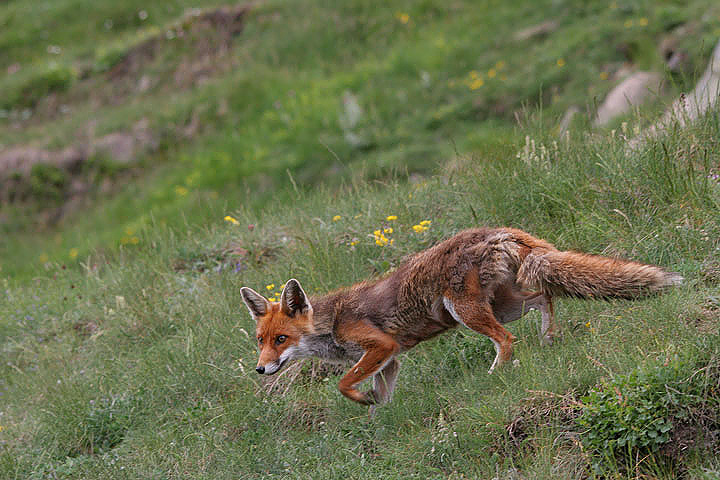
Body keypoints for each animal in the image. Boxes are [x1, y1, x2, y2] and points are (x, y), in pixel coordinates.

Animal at [240, 227, 680, 406]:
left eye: (281, 340)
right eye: (260, 341)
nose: (260, 370)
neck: (331, 325)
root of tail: (500, 231)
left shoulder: (380, 346)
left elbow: (344, 384)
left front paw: (362, 400)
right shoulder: (391, 358)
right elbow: (382, 395)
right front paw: (380, 413)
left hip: (466, 311)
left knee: (507, 339)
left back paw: (496, 373)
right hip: (504, 305)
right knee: (544, 297)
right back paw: (548, 338)